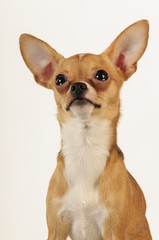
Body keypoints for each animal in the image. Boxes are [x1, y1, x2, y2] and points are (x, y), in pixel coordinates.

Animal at [19, 19, 152, 239]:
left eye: (102, 75)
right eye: (59, 80)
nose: (78, 86)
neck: (84, 147)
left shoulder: (112, 228)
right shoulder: (56, 226)